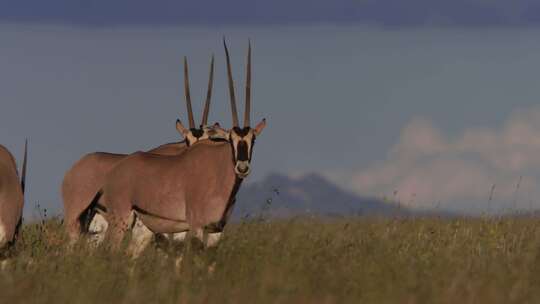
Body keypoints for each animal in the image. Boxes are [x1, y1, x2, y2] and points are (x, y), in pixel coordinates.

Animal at [96, 39, 266, 255]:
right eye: (231, 139)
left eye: (254, 140)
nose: (242, 167)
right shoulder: (189, 229)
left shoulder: (215, 231)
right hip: (119, 221)